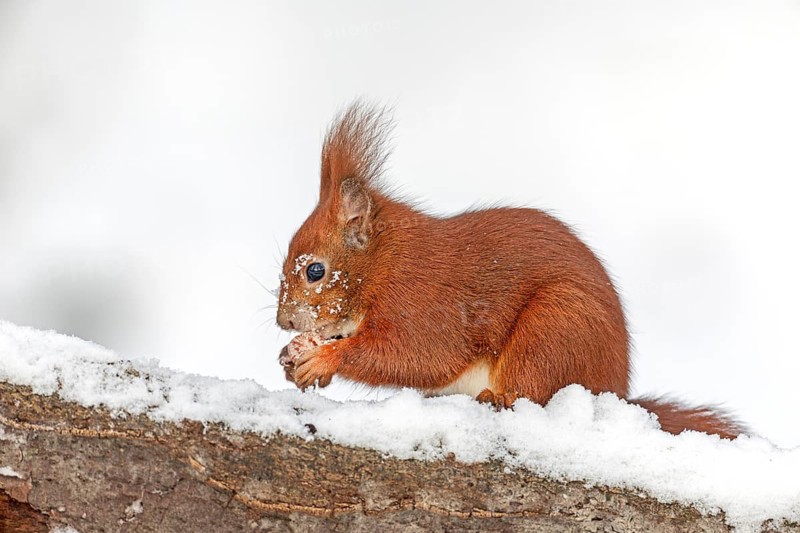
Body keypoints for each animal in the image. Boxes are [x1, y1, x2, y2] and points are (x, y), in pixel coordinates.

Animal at [276, 102, 743, 439]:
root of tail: (616, 393)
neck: (383, 264)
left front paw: (323, 358)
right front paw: (293, 355)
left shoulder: (422, 302)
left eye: (315, 270)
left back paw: (496, 398)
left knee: (532, 390)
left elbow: (416, 356)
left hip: (554, 330)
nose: (284, 322)